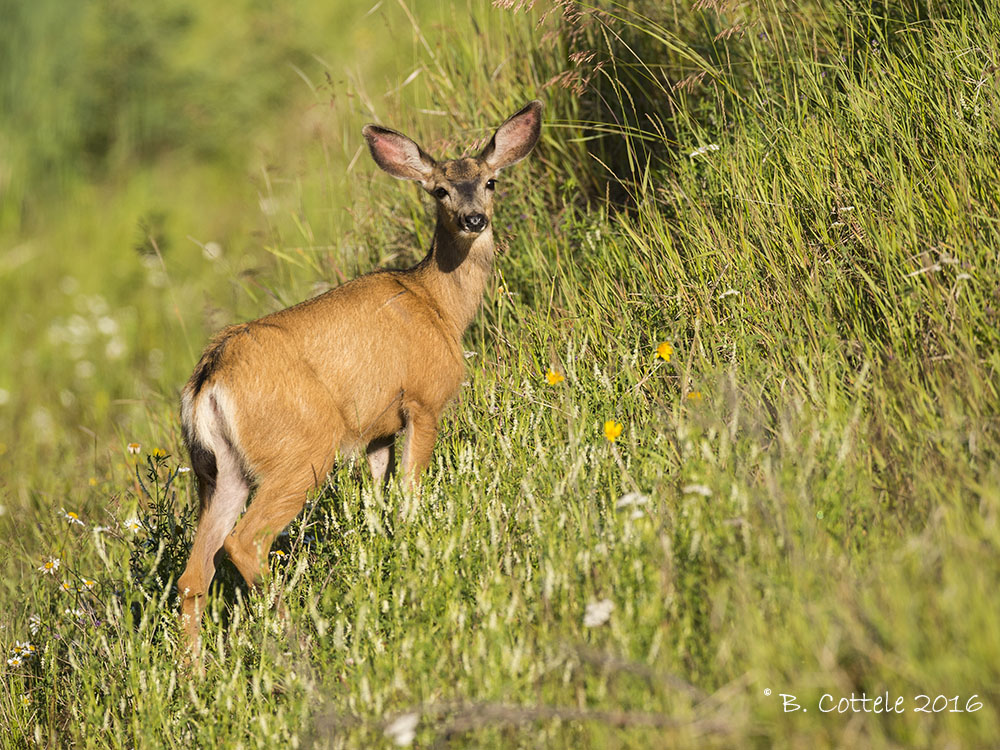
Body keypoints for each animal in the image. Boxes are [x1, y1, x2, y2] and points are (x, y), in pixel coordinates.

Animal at [176, 101, 544, 652]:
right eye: (439, 189)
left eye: (490, 181)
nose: (473, 218)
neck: (439, 306)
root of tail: (208, 380)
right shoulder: (422, 399)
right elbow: (409, 496)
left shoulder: (377, 432)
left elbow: (379, 505)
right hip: (301, 449)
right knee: (245, 542)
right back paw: (295, 634)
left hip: (221, 471)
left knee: (193, 575)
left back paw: (195, 669)